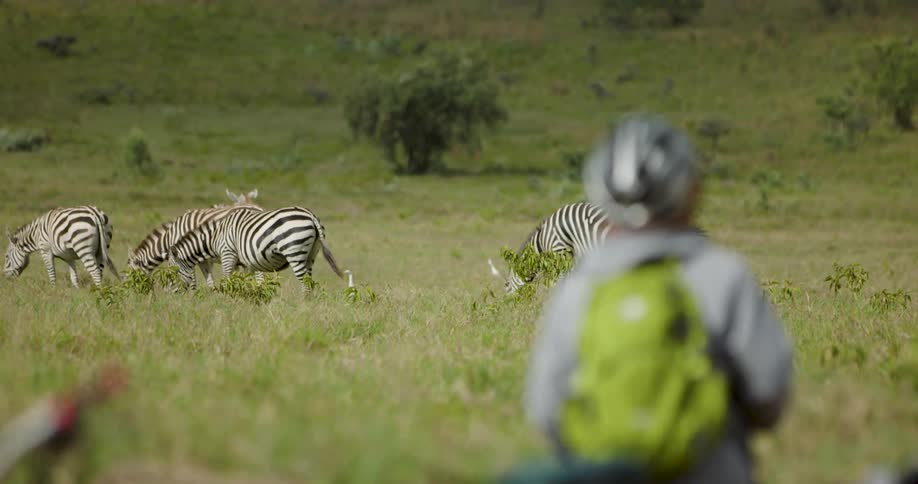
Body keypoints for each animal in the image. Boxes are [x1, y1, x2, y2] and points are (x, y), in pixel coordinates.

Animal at [126, 203, 263, 289]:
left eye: (132, 276)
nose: (133, 298)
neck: (171, 236)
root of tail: (258, 208)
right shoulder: (202, 259)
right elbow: (210, 281)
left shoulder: (187, 256)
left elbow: (192, 282)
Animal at [169, 206, 344, 291]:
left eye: (173, 273)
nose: (171, 296)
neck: (215, 237)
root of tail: (310, 215)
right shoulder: (245, 261)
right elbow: (247, 281)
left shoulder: (228, 254)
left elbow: (227, 279)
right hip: (311, 254)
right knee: (310, 282)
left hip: (294, 251)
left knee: (306, 284)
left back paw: (302, 308)